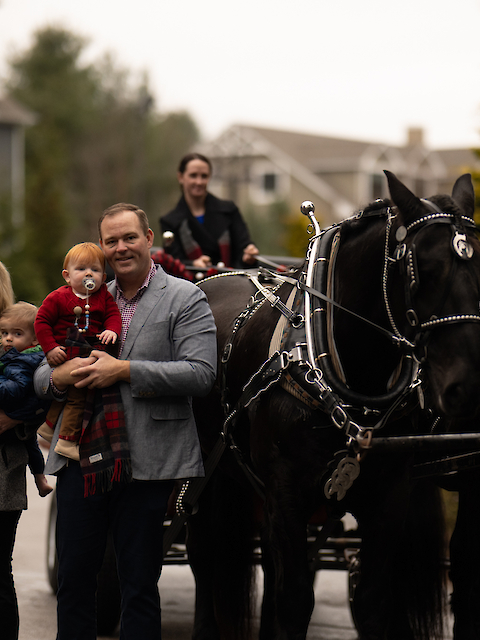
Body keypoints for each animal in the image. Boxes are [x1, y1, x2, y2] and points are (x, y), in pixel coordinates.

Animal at [186, 171, 480, 640]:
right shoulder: (286, 494)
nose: (466, 385)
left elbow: (375, 601)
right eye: (425, 270)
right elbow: (294, 601)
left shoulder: (390, 495)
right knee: (203, 555)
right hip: (202, 473)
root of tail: (209, 279)